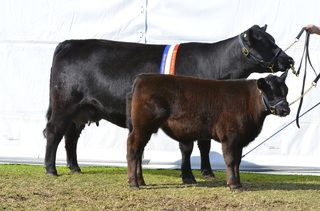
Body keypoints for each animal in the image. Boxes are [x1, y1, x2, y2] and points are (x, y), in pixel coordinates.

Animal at [127, 71, 290, 189]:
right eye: (271, 92)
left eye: (286, 91)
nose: (285, 110)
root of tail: (142, 77)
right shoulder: (230, 136)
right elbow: (230, 160)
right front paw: (233, 184)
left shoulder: (240, 140)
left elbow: (237, 161)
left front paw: (238, 183)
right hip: (142, 126)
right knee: (133, 148)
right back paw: (134, 183)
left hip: (144, 128)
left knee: (139, 151)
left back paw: (140, 181)